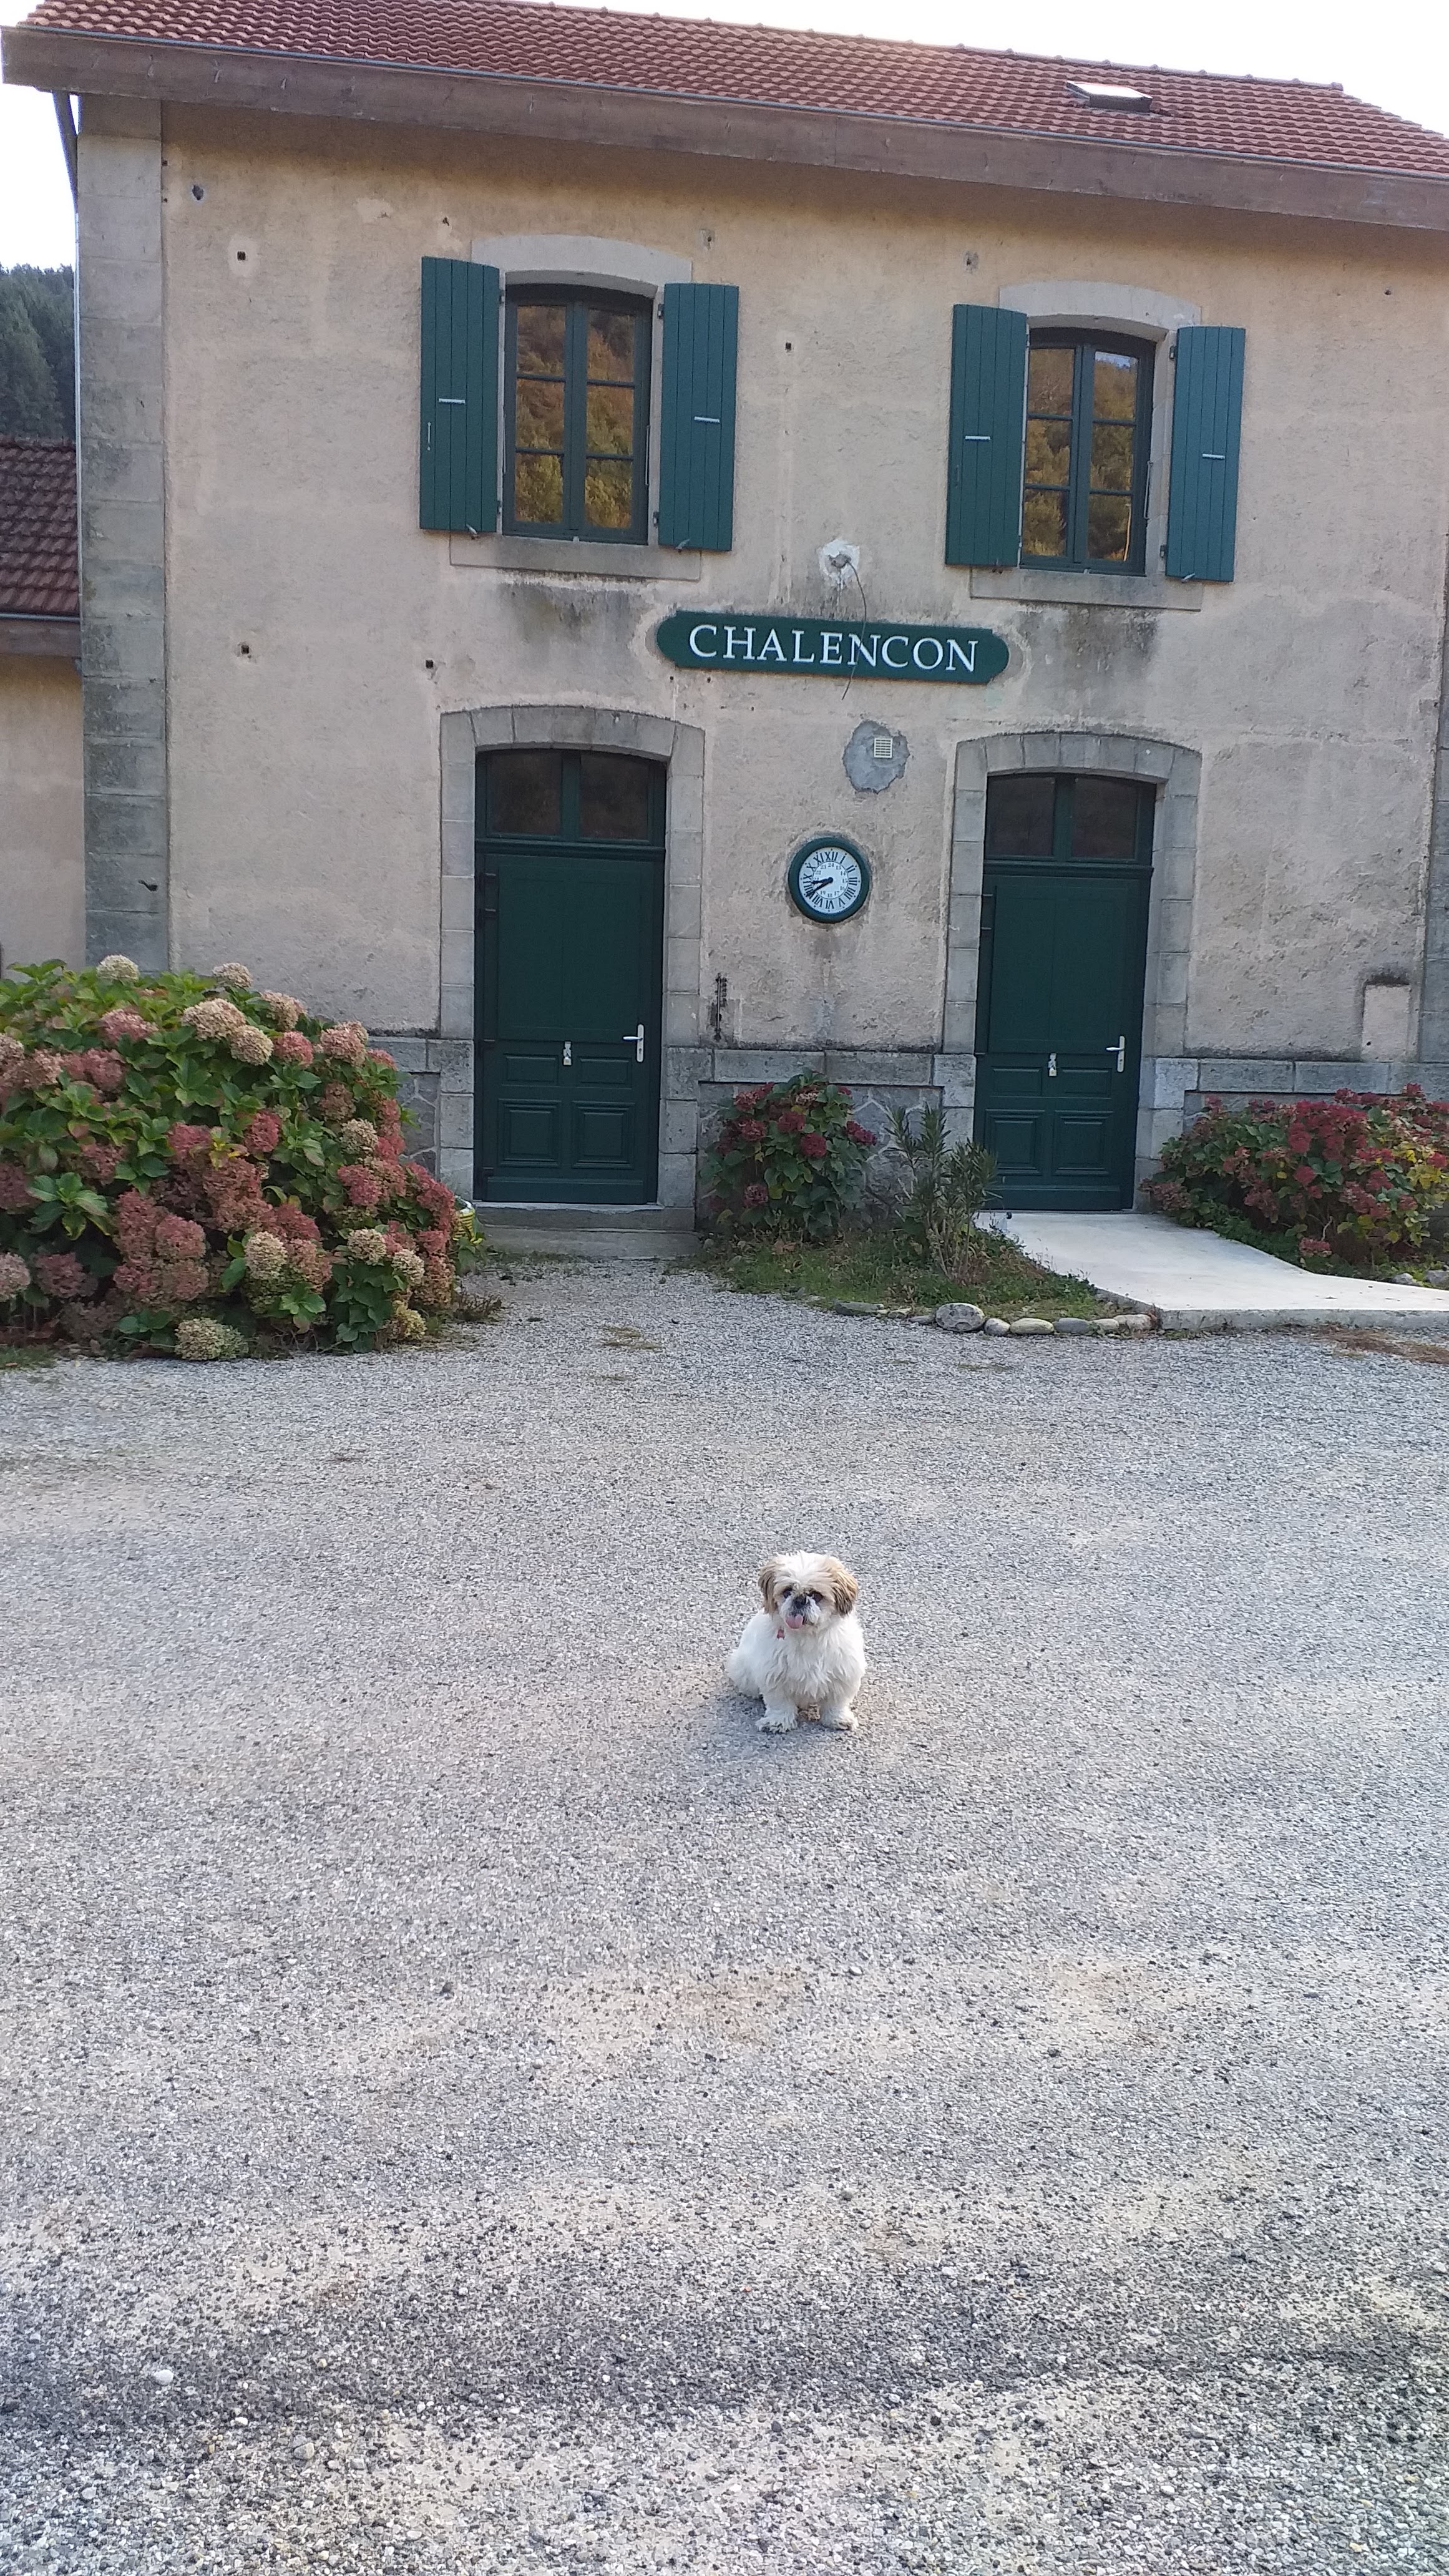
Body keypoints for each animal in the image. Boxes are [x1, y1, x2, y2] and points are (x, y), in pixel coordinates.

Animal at [726, 1552, 866, 1734]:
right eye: (787, 1592)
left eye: (816, 1595)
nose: (800, 1600)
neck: (806, 1636)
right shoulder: (775, 1677)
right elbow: (780, 1703)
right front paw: (778, 1722)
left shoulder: (843, 1675)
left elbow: (836, 1703)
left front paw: (838, 1719)